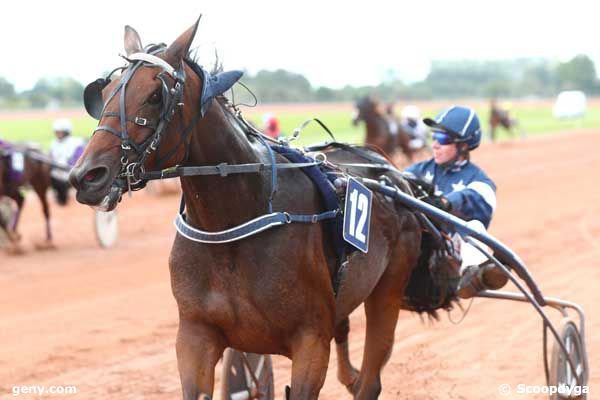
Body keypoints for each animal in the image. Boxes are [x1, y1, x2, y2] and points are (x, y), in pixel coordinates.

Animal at [69, 19, 426, 400]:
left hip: (388, 288)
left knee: (371, 377)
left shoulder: (311, 339)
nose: (86, 176)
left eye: (155, 95)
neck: (233, 224)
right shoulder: (195, 335)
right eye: (104, 92)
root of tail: (391, 174)